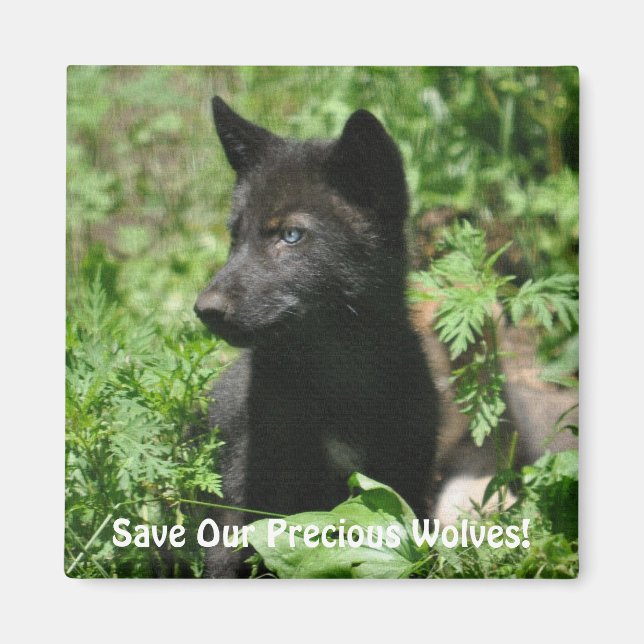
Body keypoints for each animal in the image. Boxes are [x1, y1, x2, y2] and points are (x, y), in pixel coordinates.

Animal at [194, 97, 441, 577]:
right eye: (235, 236)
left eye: (291, 235)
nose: (205, 309)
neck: (336, 378)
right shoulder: (244, 513)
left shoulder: (405, 485)